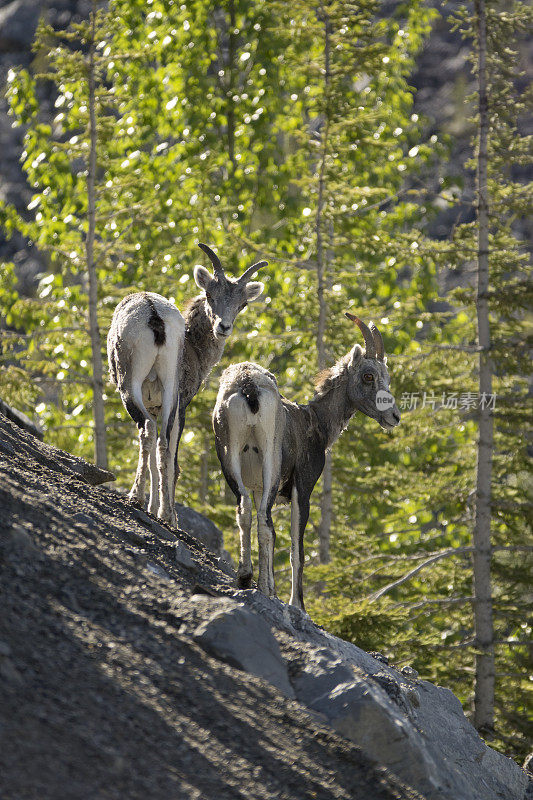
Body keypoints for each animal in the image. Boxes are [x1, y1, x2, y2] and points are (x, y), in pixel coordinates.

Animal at [108, 247, 266, 528]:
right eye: (210, 295)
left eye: (242, 304)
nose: (223, 327)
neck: (194, 347)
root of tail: (154, 315)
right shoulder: (164, 406)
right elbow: (163, 458)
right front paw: (160, 509)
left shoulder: (170, 404)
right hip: (169, 390)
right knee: (162, 444)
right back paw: (163, 512)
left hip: (132, 385)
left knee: (148, 432)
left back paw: (138, 498)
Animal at [212, 312, 400, 608]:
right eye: (368, 375)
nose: (394, 417)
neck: (315, 422)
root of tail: (248, 387)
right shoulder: (303, 488)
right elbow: (296, 549)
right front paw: (296, 604)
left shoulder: (257, 487)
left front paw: (270, 588)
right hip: (271, 461)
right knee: (265, 522)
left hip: (229, 459)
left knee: (246, 512)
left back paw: (245, 577)